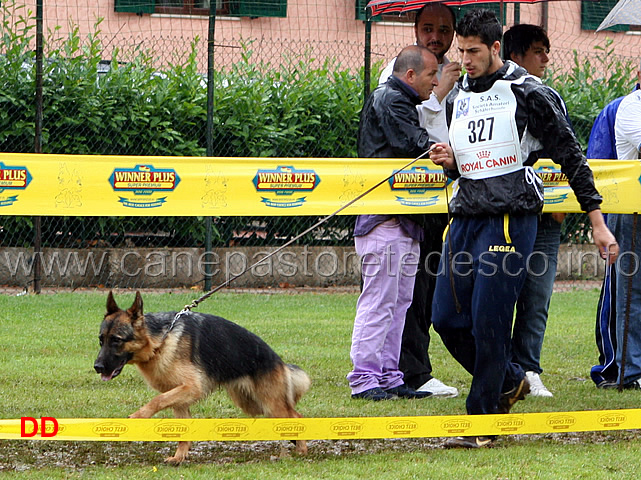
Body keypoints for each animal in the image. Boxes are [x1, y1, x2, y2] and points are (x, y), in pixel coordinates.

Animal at [93, 290, 310, 464]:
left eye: (116, 340)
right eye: (101, 340)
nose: (97, 367)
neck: (160, 341)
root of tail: (278, 360)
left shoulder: (191, 388)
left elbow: (157, 400)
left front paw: (138, 417)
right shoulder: (179, 399)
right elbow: (181, 428)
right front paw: (179, 457)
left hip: (270, 404)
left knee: (296, 416)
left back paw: (301, 450)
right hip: (252, 404)